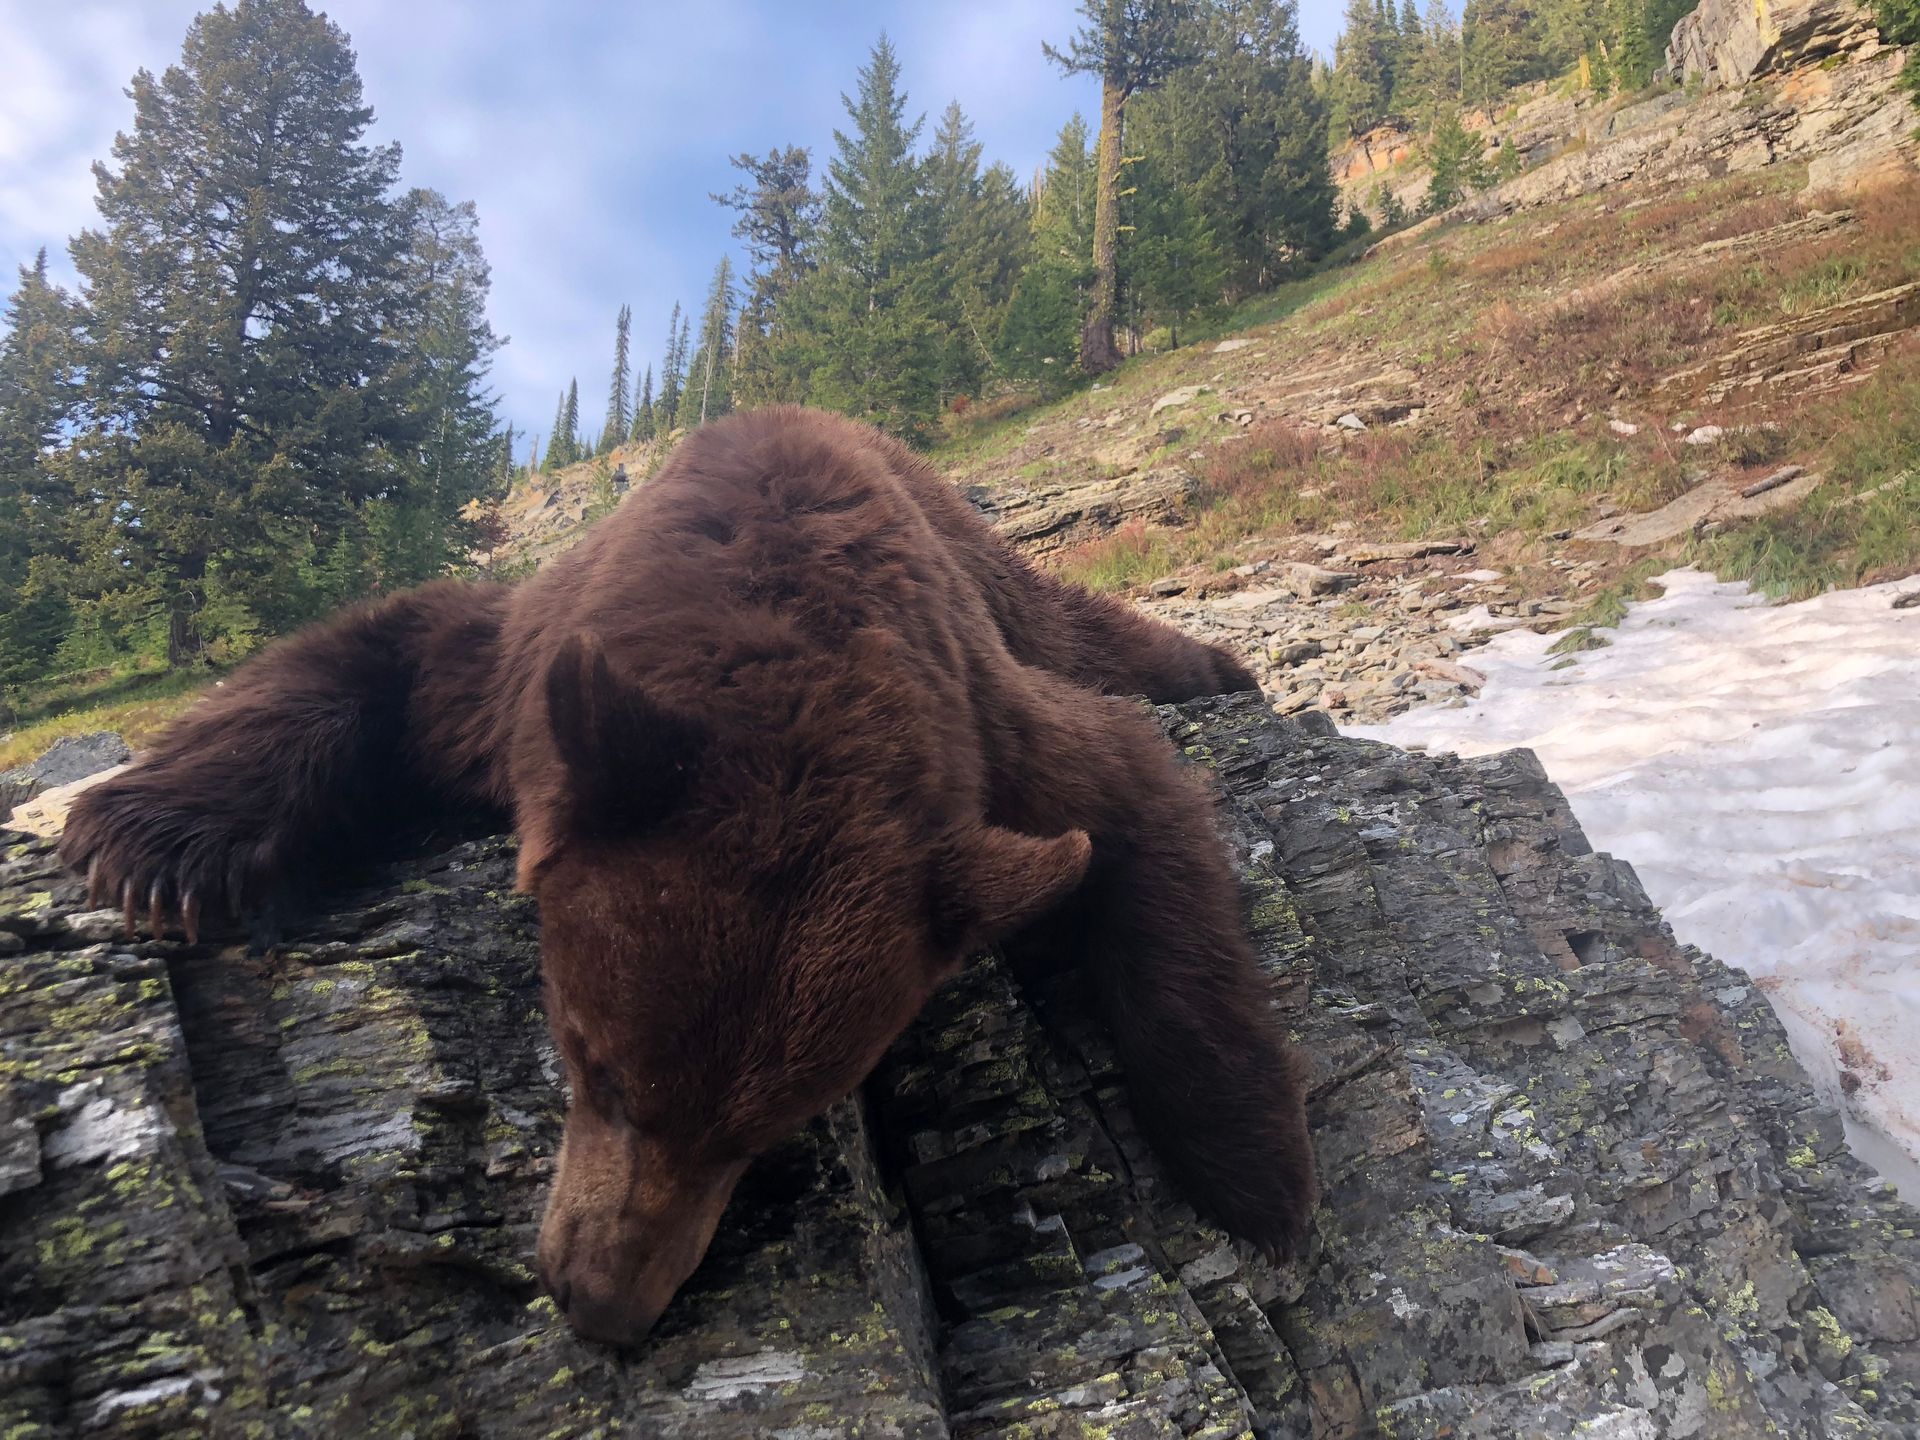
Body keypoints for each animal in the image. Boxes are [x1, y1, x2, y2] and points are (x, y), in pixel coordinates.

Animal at [61, 406, 1316, 1347]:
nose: (601, 1304)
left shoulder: (985, 728)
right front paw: (156, 842)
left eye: (766, 1128)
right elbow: (386, 651)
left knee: (1076, 626)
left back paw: (1213, 667)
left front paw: (1254, 1170)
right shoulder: (526, 674)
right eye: (596, 1066)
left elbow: (1131, 800)